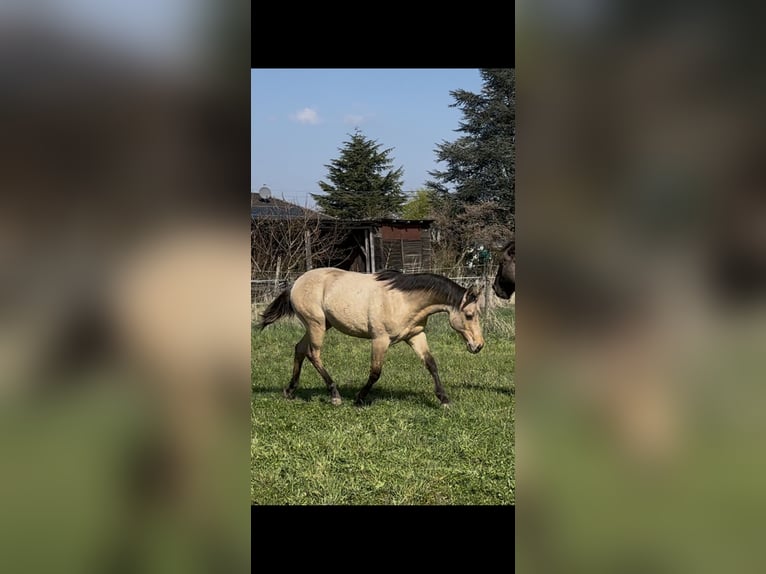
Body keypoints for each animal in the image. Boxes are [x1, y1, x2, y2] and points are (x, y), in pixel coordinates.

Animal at [259, 267, 485, 407]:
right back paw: (335, 396)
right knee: (313, 354)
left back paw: (290, 391)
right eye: (469, 315)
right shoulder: (380, 340)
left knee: (299, 349)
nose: (478, 346)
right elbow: (375, 372)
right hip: (316, 325)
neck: (403, 300)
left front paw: (444, 399)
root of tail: (296, 283)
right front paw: (359, 399)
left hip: (321, 325)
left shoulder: (415, 335)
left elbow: (431, 364)